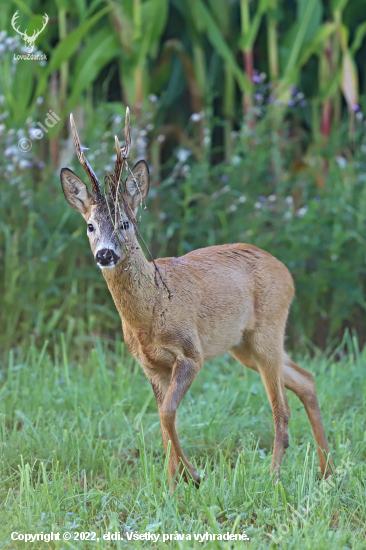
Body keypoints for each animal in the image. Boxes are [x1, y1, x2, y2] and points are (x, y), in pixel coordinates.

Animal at [60, 108, 334, 488]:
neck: (150, 314)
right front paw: (172, 485)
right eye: (90, 225)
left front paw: (193, 476)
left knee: (281, 407)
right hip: (243, 344)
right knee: (305, 379)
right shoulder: (150, 365)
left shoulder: (191, 353)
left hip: (268, 328)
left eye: (126, 223)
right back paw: (327, 471)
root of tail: (285, 270)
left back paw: (274, 476)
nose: (104, 254)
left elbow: (167, 413)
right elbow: (162, 420)